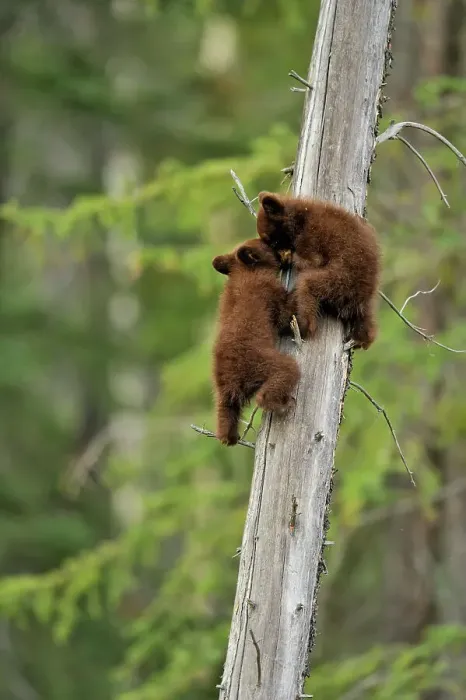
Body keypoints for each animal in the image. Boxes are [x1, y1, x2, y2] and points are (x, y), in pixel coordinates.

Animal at [212, 238, 300, 446]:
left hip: (221, 389)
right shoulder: (268, 289)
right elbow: (284, 315)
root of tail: (232, 380)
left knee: (225, 410)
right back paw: (281, 404)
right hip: (260, 362)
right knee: (286, 371)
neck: (243, 270)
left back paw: (229, 436)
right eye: (268, 243)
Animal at [256, 191, 381, 350]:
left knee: (307, 286)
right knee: (367, 319)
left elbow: (313, 260)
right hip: (360, 296)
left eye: (273, 241)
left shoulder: (311, 235)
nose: (277, 256)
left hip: (341, 279)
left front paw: (291, 256)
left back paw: (303, 326)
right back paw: (363, 338)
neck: (300, 215)